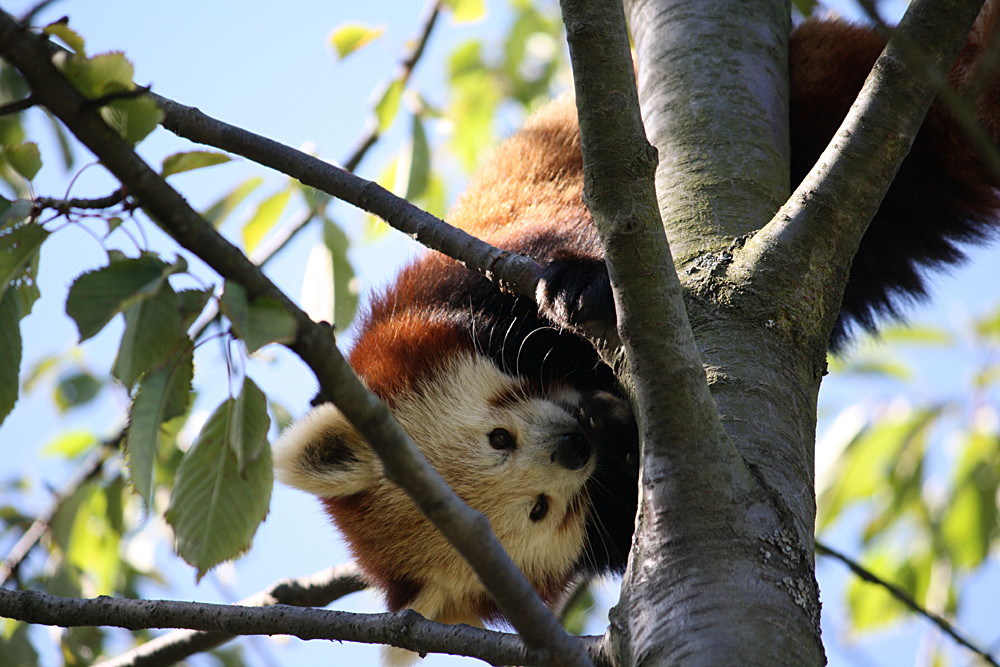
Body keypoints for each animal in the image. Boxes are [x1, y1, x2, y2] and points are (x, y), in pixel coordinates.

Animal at [272, 11, 1000, 652]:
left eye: (498, 437)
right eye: (540, 508)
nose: (573, 446)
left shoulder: (490, 252)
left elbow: (579, 245)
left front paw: (581, 288)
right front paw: (616, 427)